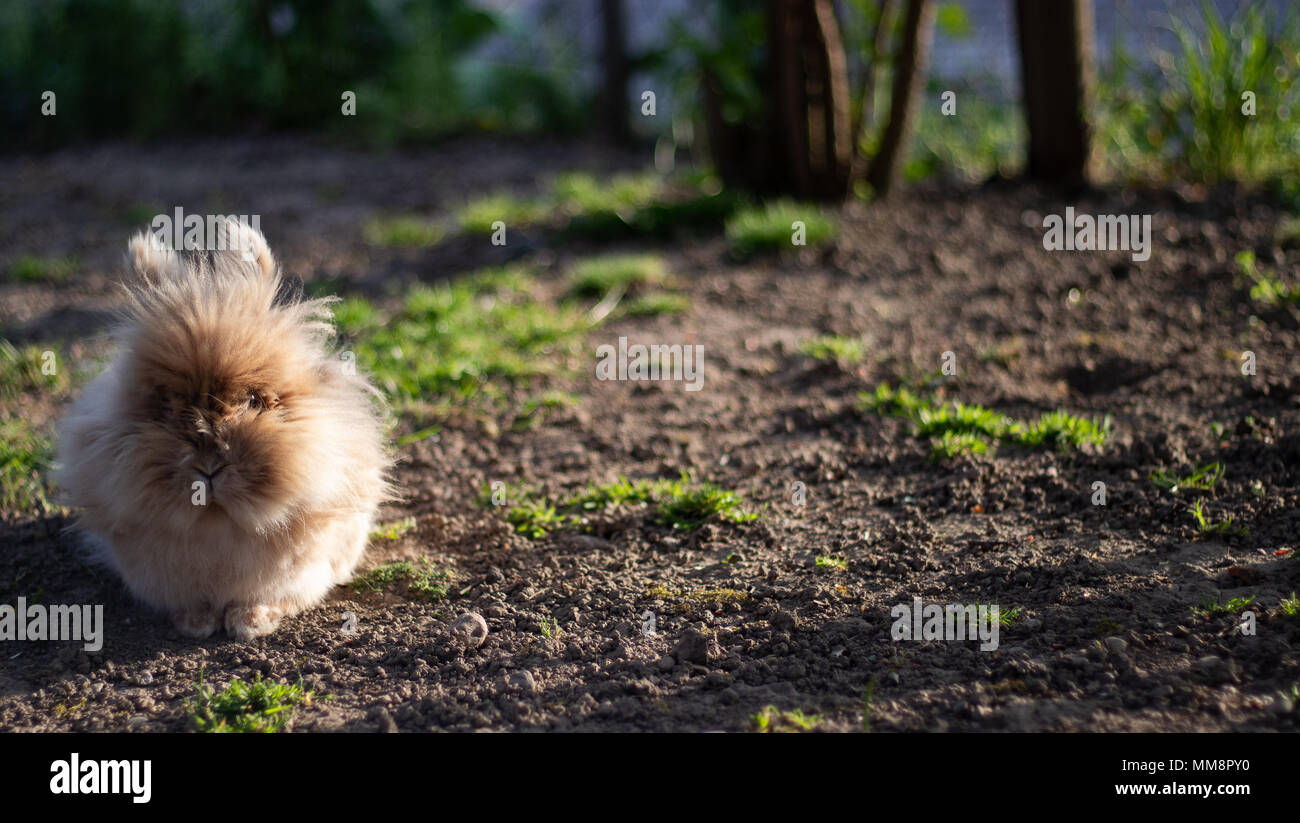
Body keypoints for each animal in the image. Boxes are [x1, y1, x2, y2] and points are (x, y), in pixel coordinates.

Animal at [57, 219, 392, 640]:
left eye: (253, 401)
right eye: (165, 405)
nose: (209, 468)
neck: (218, 522)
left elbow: (270, 598)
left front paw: (251, 623)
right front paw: (196, 625)